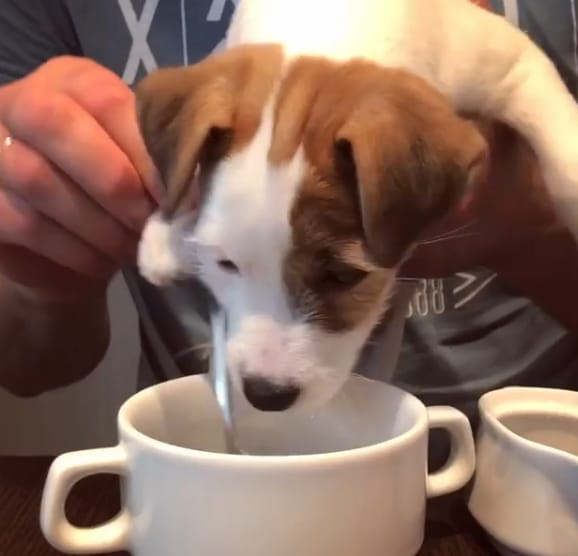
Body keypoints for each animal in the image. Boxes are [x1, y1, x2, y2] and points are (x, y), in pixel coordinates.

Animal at [136, 0, 578, 413]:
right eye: (226, 265)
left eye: (343, 276)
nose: (266, 396)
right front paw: (169, 235)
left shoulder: (514, 62)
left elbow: (565, 160)